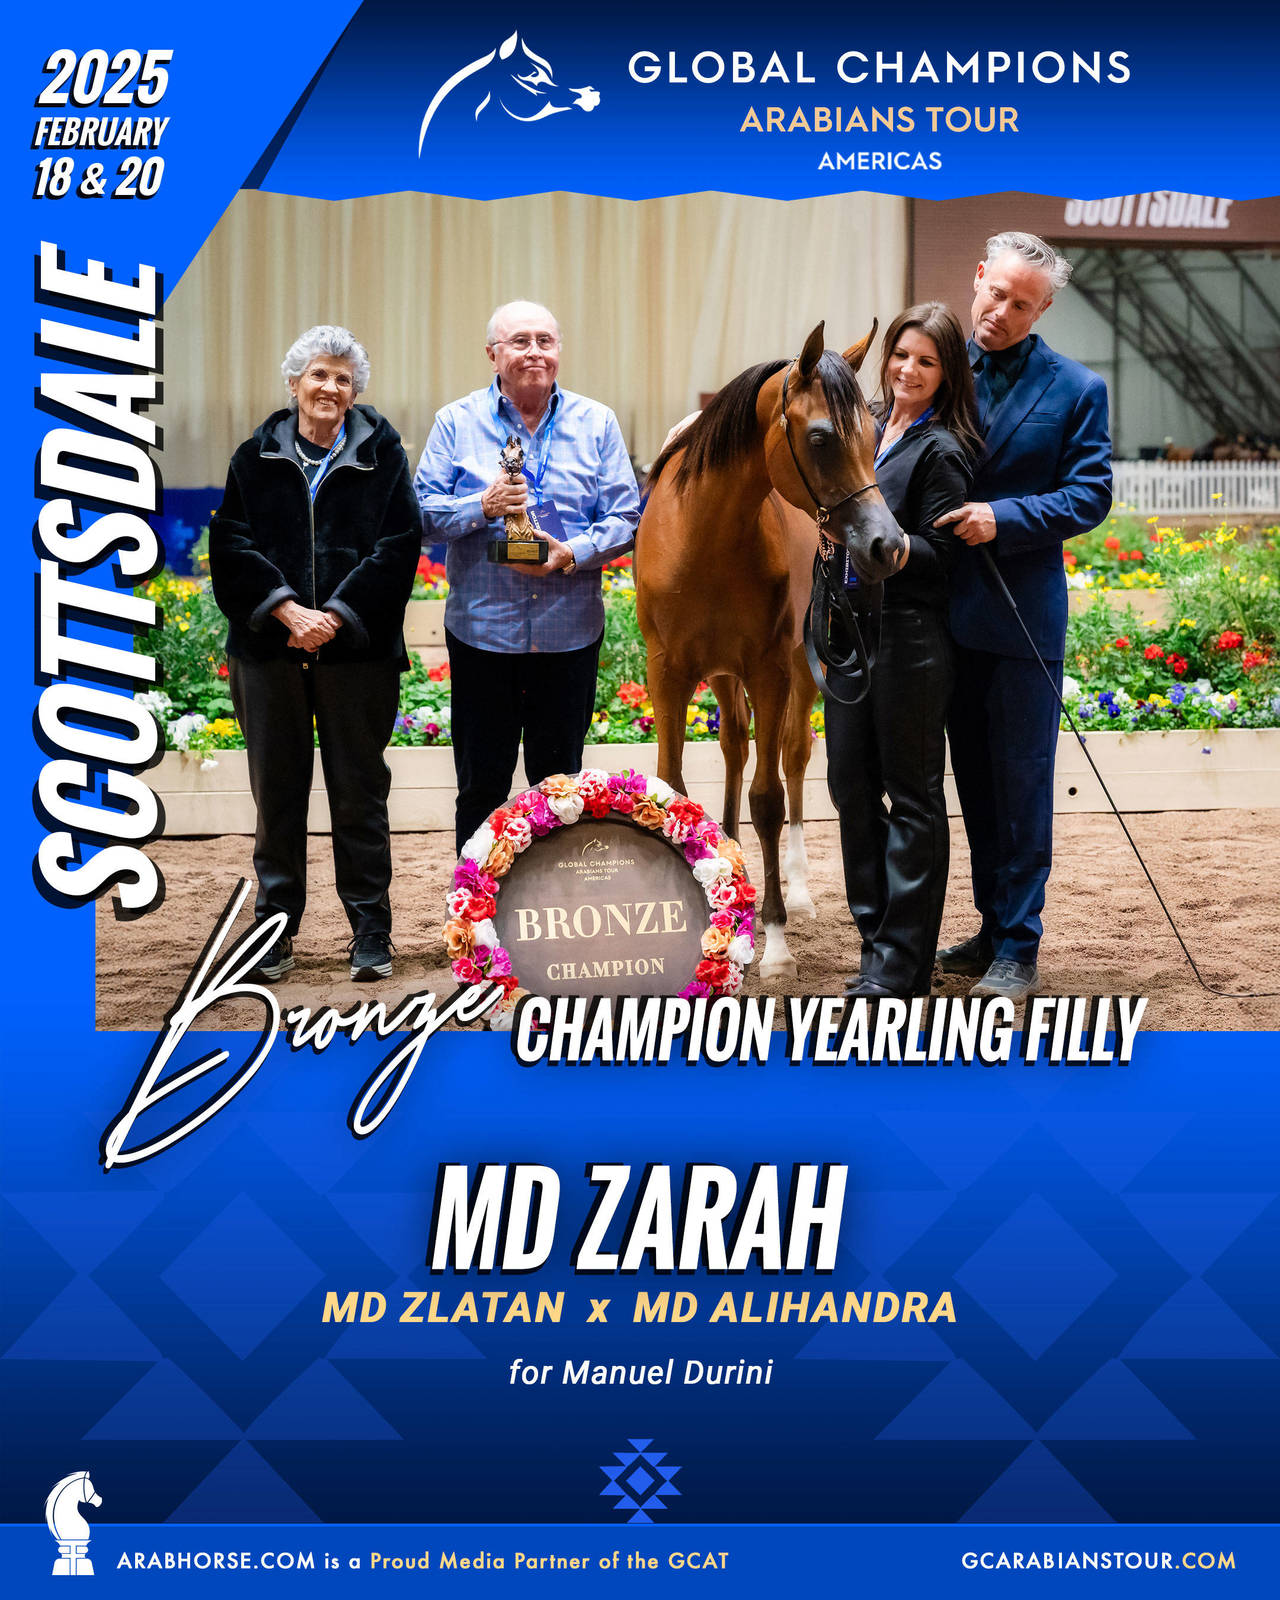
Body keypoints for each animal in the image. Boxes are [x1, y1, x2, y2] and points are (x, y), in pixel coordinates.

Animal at [636, 322, 905, 980]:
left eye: (873, 434)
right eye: (820, 437)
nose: (888, 545)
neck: (703, 535)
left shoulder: (769, 670)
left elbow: (767, 798)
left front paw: (776, 940)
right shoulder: (668, 674)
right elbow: (673, 788)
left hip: (802, 670)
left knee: (792, 757)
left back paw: (798, 891)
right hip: (721, 676)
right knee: (734, 746)